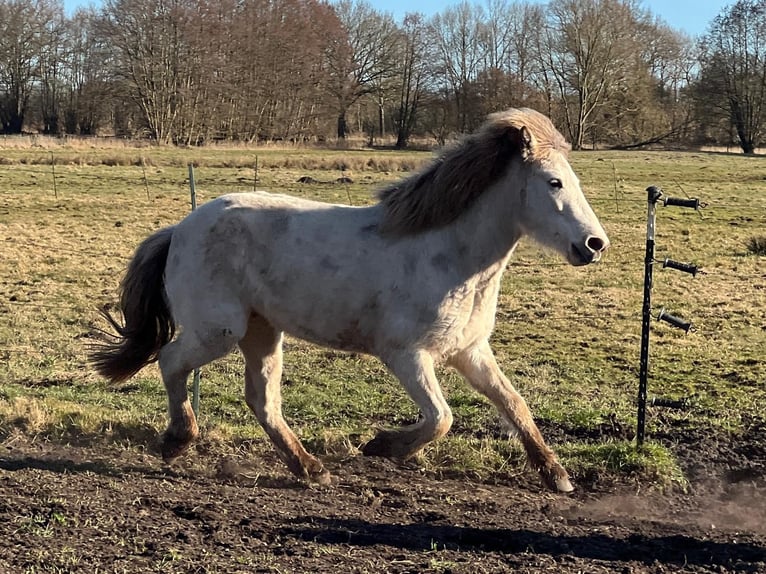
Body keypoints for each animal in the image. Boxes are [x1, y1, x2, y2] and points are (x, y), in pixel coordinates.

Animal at [91, 108, 609, 493]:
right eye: (554, 182)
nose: (594, 244)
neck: (451, 257)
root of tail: (180, 228)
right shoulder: (406, 355)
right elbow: (442, 418)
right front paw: (381, 446)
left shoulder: (470, 351)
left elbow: (515, 405)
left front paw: (557, 476)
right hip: (218, 330)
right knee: (172, 361)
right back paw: (178, 441)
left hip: (262, 332)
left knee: (262, 400)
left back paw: (310, 468)